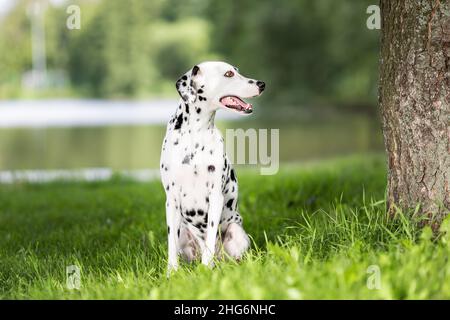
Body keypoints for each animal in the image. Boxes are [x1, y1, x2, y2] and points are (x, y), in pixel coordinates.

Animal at [160, 61, 266, 272]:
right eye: (229, 74)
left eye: (236, 71)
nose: (261, 84)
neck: (195, 134)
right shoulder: (172, 200)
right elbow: (171, 244)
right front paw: (171, 272)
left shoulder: (215, 197)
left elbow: (210, 237)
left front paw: (206, 268)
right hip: (184, 233)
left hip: (237, 234)